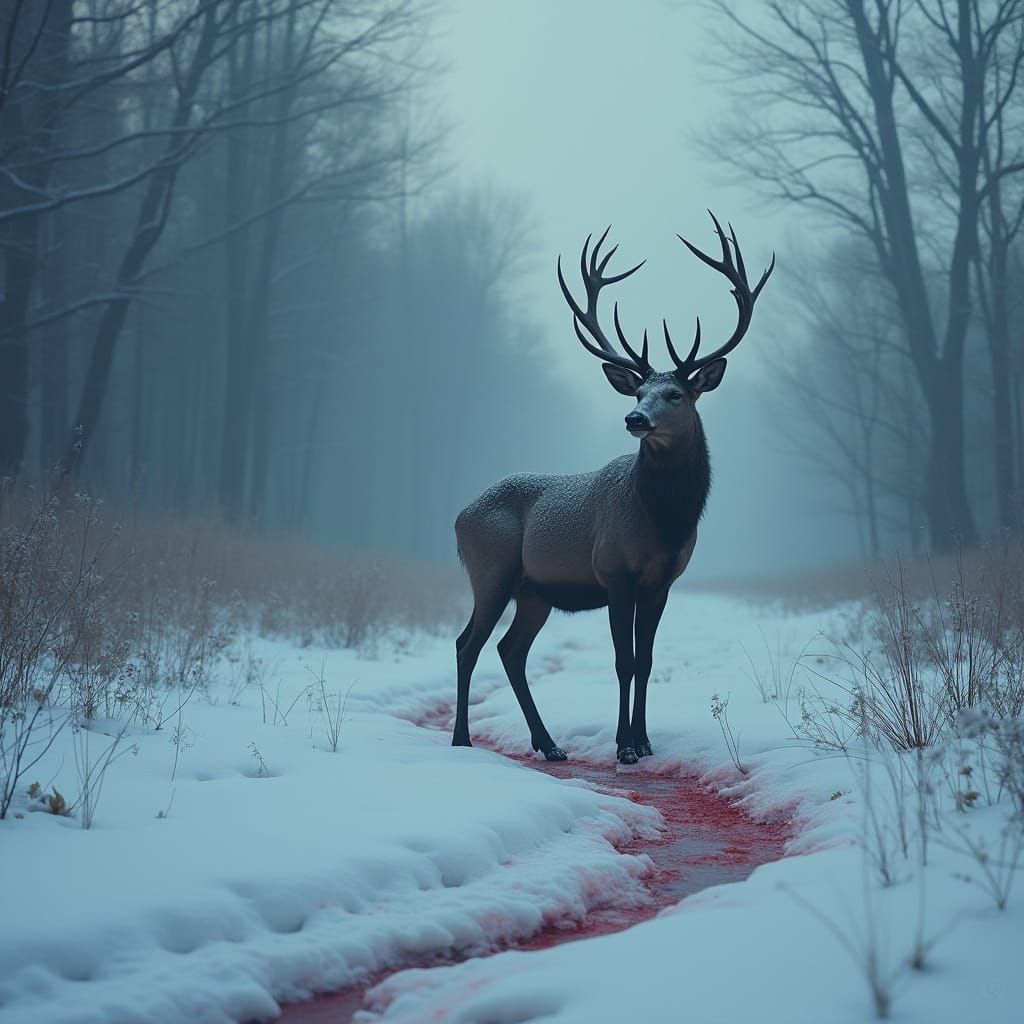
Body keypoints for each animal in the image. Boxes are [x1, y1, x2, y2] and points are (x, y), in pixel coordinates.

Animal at [451, 212, 774, 764]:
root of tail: (458, 518)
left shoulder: (663, 582)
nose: (634, 418)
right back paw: (462, 740)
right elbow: (622, 659)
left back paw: (549, 744)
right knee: (467, 644)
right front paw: (623, 746)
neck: (664, 522)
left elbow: (645, 660)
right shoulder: (614, 570)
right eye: (639, 390)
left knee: (509, 650)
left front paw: (643, 741)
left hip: (534, 590)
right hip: (491, 569)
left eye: (675, 393)